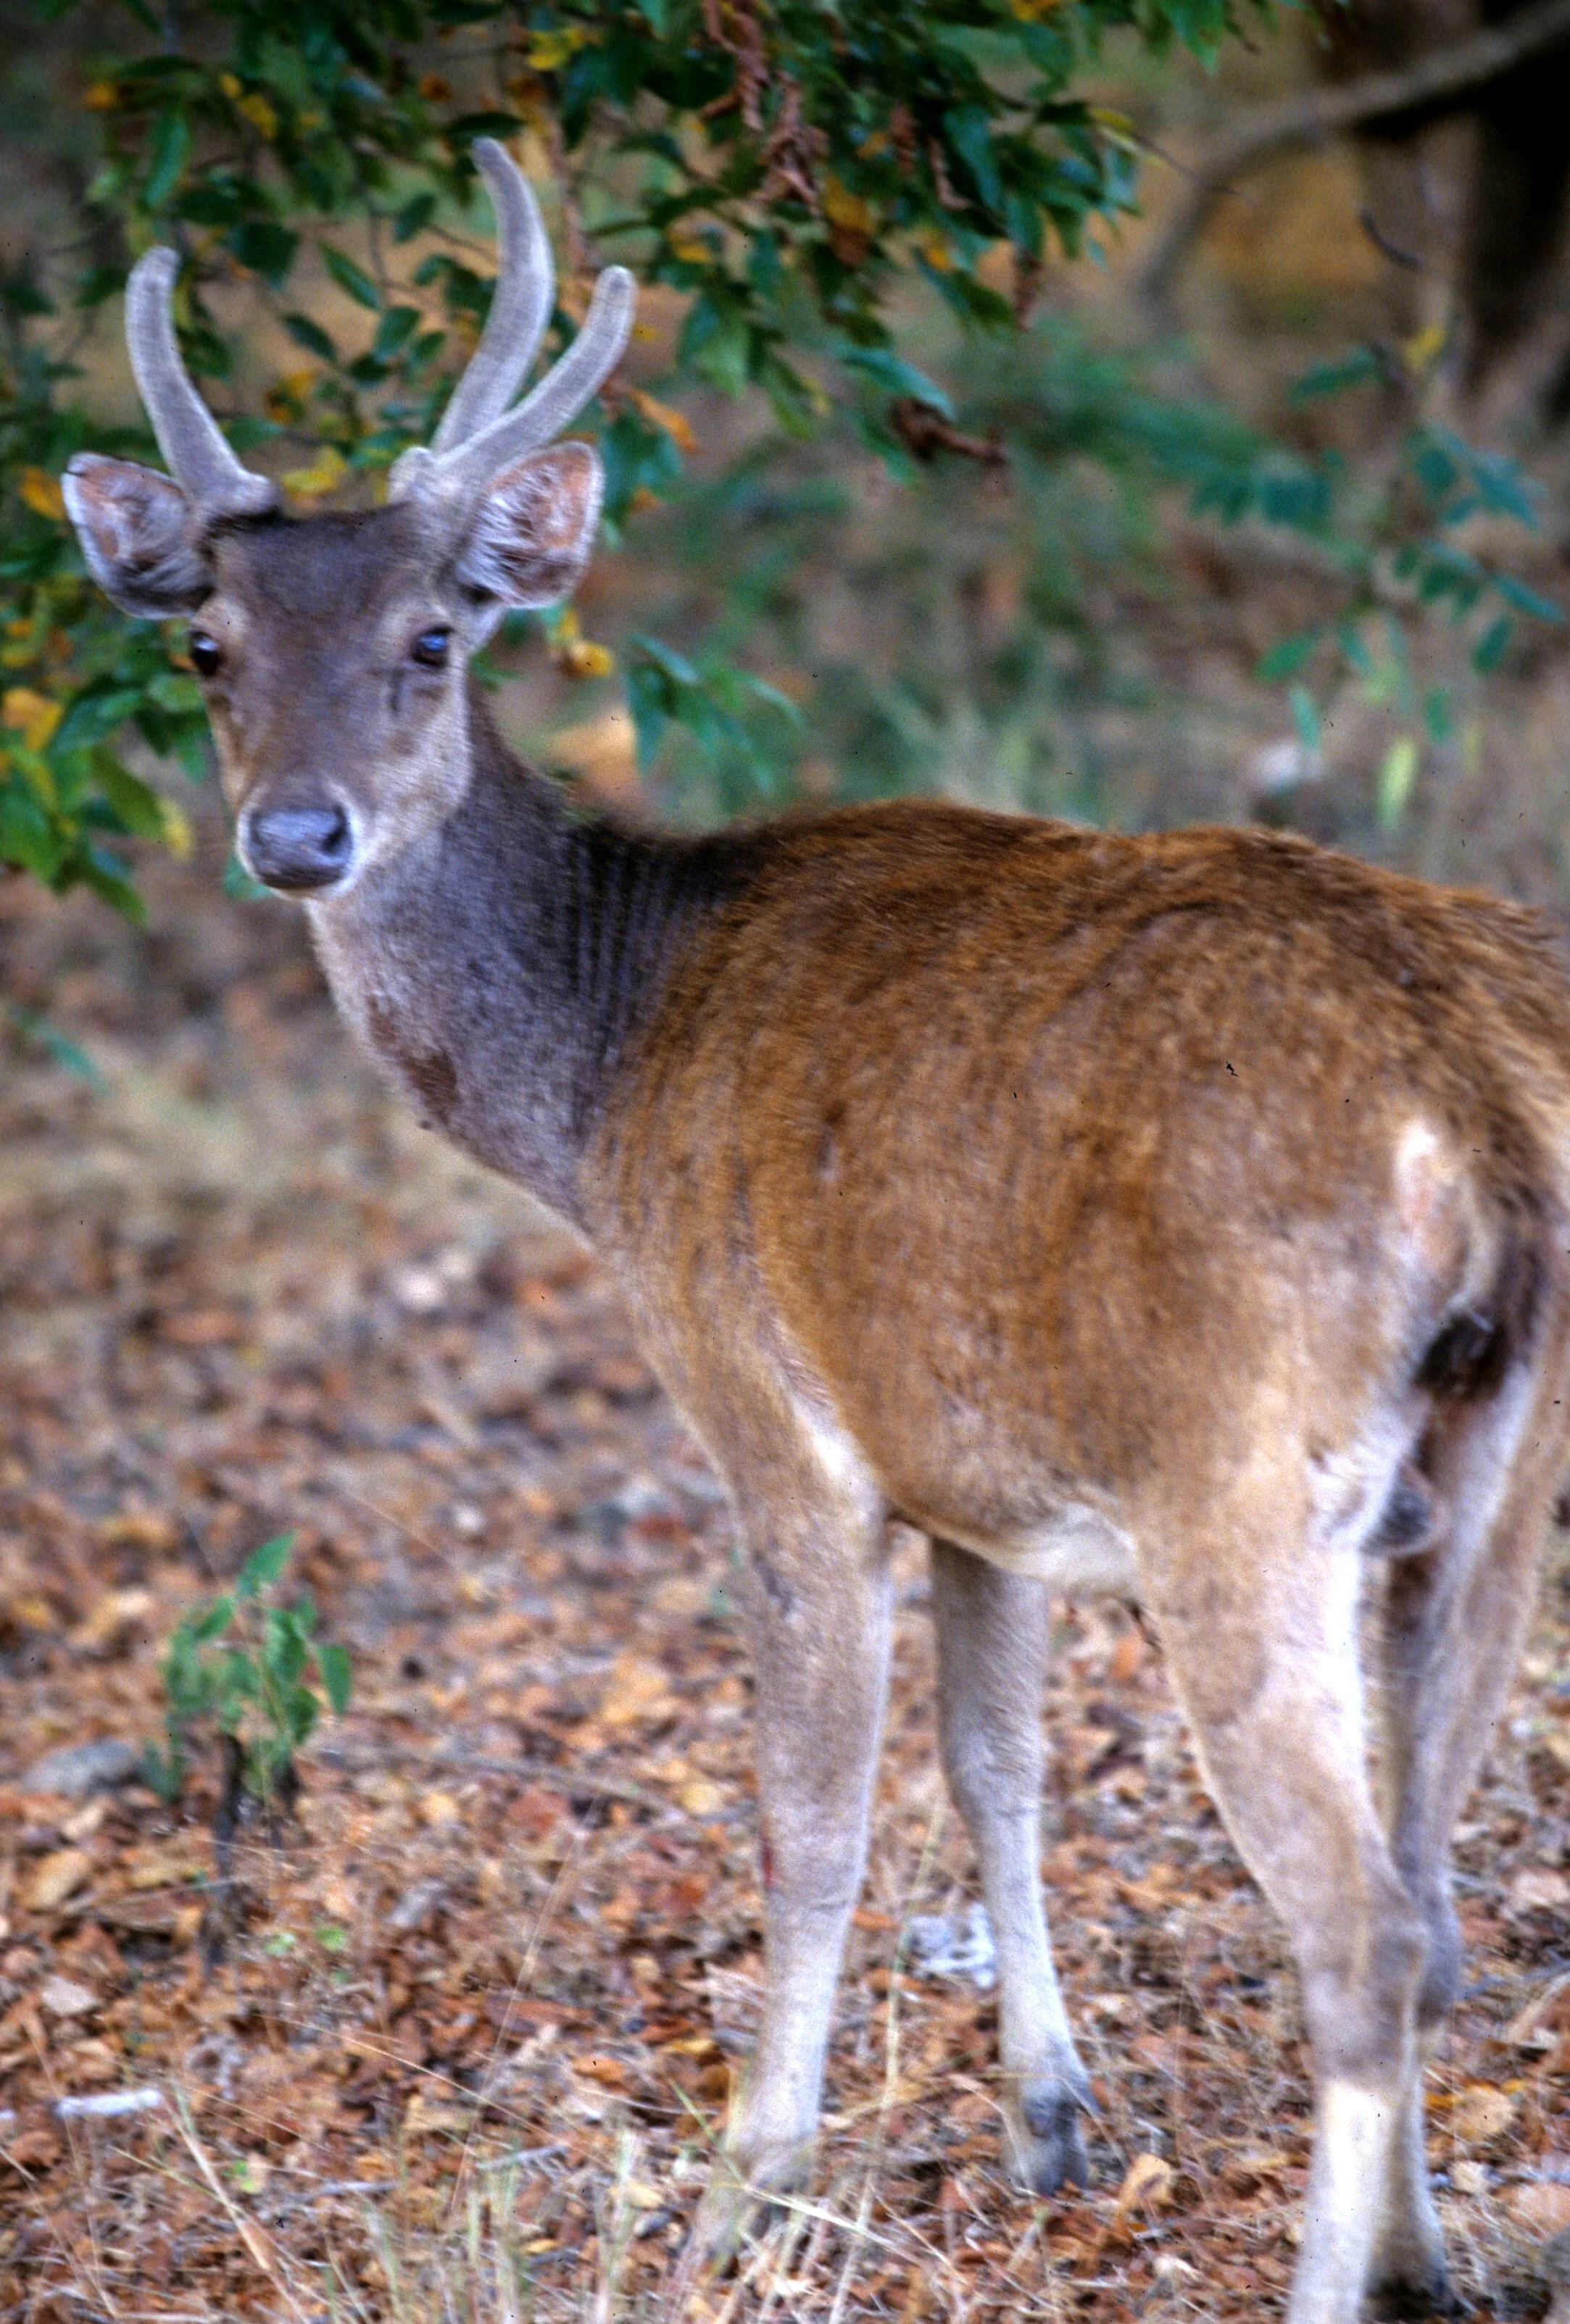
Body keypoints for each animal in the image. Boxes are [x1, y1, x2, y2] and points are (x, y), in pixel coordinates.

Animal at [63, 139, 1570, 2324]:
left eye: (436, 636)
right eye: (210, 649)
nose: (296, 836)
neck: (607, 1079)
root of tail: (1470, 1105)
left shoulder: (773, 1419)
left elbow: (811, 1816)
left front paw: (740, 2182)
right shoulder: (984, 1480)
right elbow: (993, 1765)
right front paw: (1047, 2120)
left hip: (1237, 1477)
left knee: (1360, 1933)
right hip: (1496, 1481)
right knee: (1436, 1898)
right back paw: (1432, 2257)